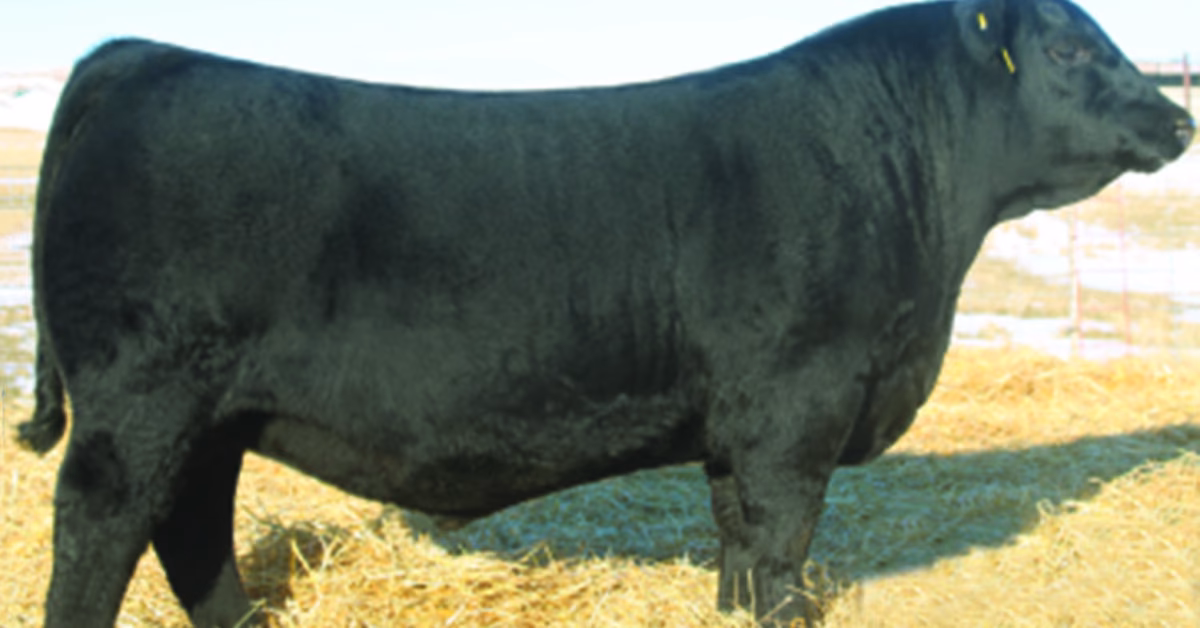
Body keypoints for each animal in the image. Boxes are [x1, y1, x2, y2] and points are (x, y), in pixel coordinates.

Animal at [16, 0, 1193, 625]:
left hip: (208, 412)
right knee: (102, 525)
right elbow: (783, 536)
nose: (1178, 119)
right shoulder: (798, 401)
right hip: (141, 400)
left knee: (191, 525)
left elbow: (736, 532)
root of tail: (140, 55)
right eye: (1070, 49)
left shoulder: (737, 420)